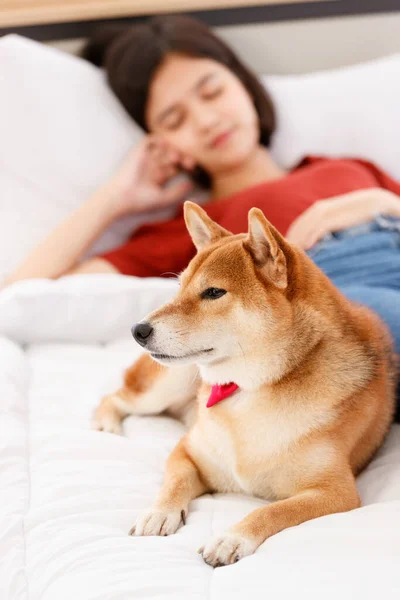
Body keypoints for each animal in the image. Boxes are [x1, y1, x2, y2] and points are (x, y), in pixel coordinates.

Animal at [94, 200, 396, 568]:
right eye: (180, 288)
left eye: (213, 292)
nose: (138, 330)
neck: (248, 390)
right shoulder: (187, 451)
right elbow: (174, 482)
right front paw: (159, 512)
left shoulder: (335, 491)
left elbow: (273, 511)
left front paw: (231, 538)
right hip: (164, 387)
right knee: (116, 397)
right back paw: (106, 426)